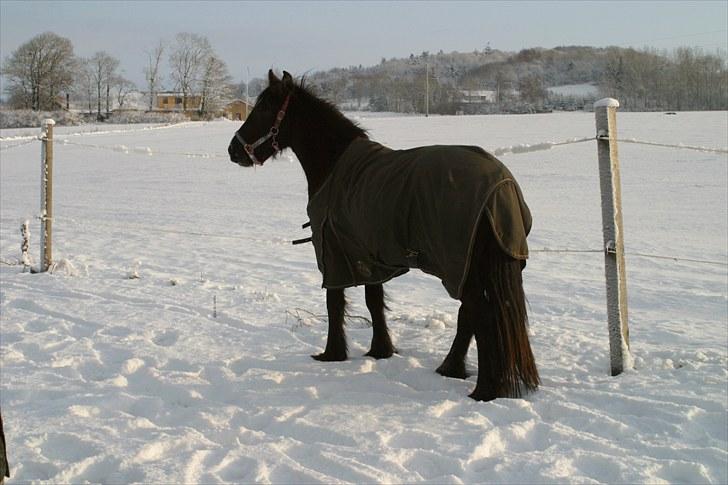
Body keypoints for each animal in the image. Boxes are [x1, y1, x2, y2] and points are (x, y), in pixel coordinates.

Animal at [228, 70, 539, 401]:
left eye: (264, 107)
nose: (233, 150)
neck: (336, 165)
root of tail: (501, 186)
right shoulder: (366, 256)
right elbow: (373, 301)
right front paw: (380, 350)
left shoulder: (334, 254)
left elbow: (335, 303)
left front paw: (332, 353)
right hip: (471, 269)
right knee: (471, 315)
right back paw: (451, 369)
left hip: (460, 267)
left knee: (479, 315)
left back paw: (483, 389)